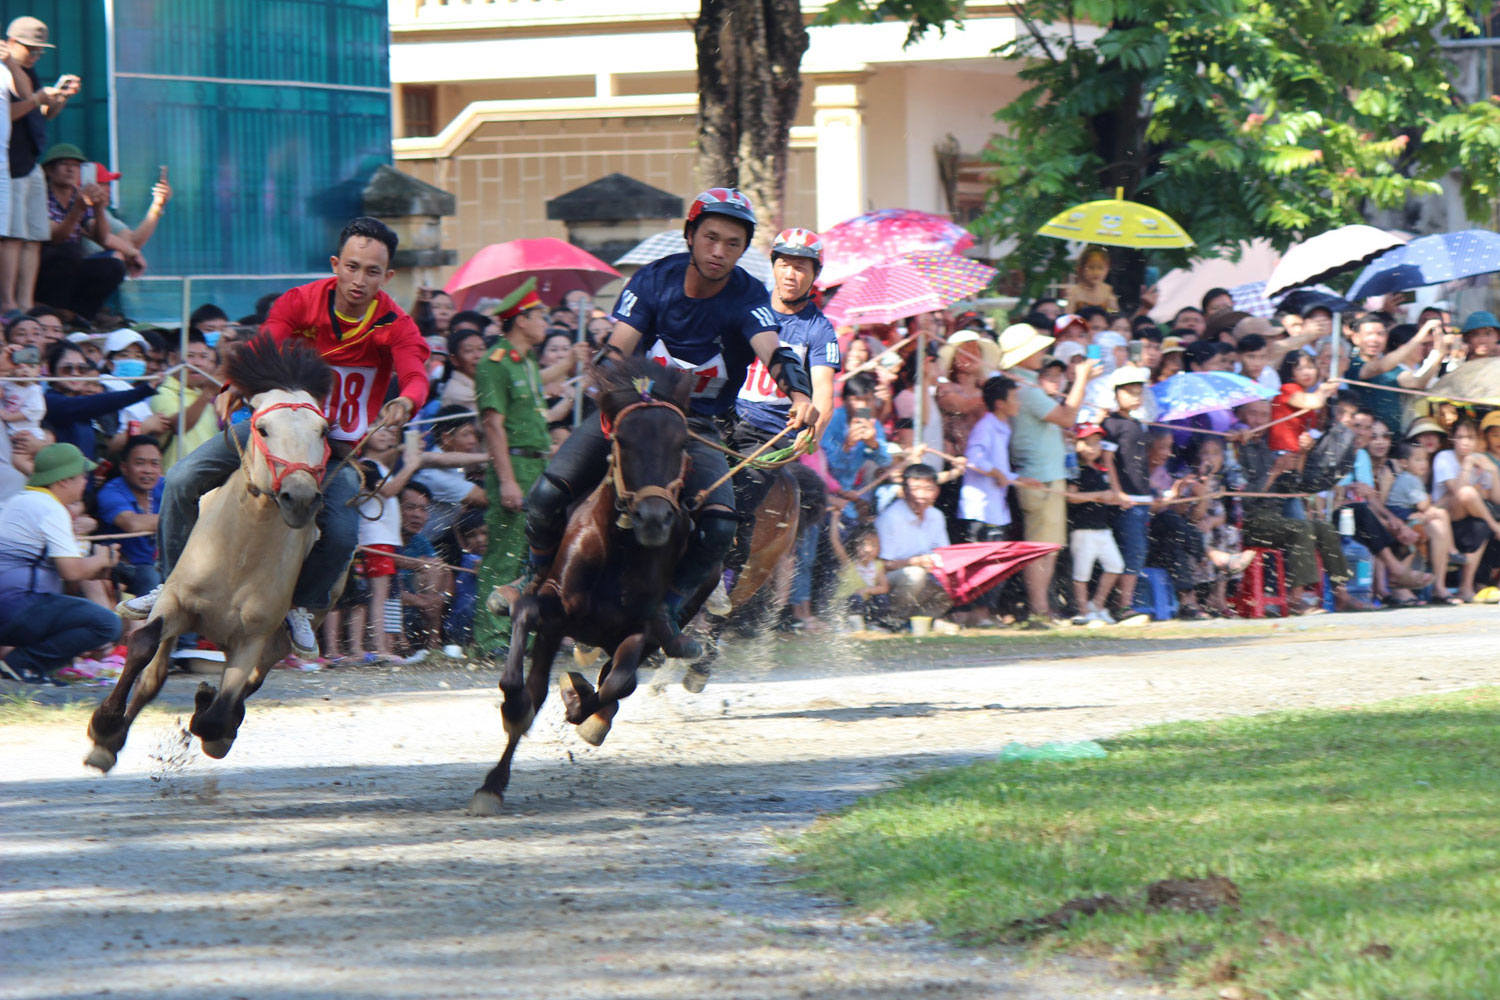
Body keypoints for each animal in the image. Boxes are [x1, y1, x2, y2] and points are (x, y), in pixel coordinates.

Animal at [89, 338, 336, 773]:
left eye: (322, 430)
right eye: (262, 427)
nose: (301, 498)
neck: (239, 553)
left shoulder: (253, 636)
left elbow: (220, 711)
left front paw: (210, 714)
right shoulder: (176, 603)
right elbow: (142, 646)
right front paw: (104, 728)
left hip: (276, 640)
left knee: (250, 683)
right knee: (153, 677)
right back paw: (113, 738)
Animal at [468, 358, 696, 815]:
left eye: (682, 442)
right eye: (623, 440)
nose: (653, 519)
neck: (620, 547)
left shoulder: (640, 628)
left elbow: (618, 683)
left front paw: (580, 705)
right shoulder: (554, 613)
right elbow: (526, 661)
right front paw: (510, 723)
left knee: (618, 681)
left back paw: (590, 708)